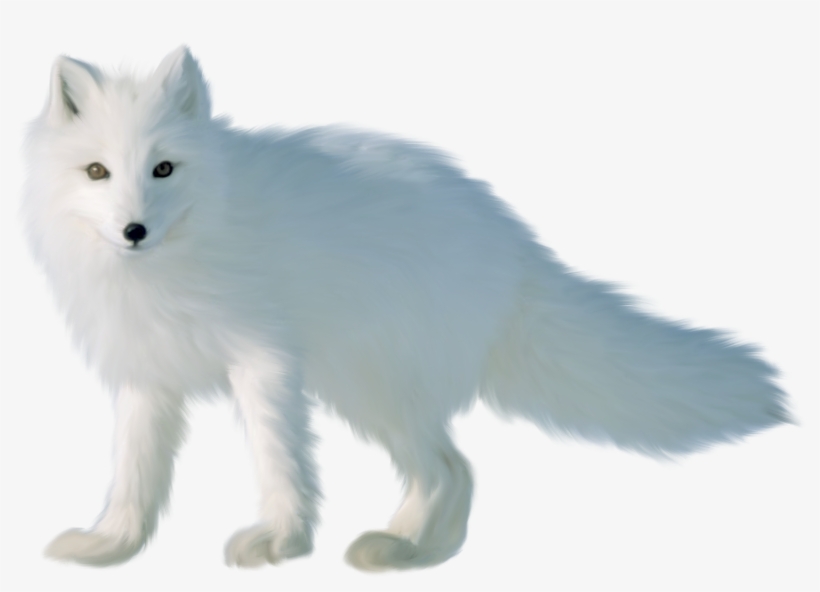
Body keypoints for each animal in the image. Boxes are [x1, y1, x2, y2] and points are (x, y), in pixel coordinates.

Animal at [22, 46, 789, 571]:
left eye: (163, 168)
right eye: (97, 172)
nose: (133, 231)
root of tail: (510, 239)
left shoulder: (265, 361)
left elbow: (278, 459)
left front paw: (280, 540)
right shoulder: (144, 375)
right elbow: (133, 472)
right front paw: (111, 545)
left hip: (367, 385)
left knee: (453, 467)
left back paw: (405, 553)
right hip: (369, 390)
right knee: (454, 469)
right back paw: (414, 551)